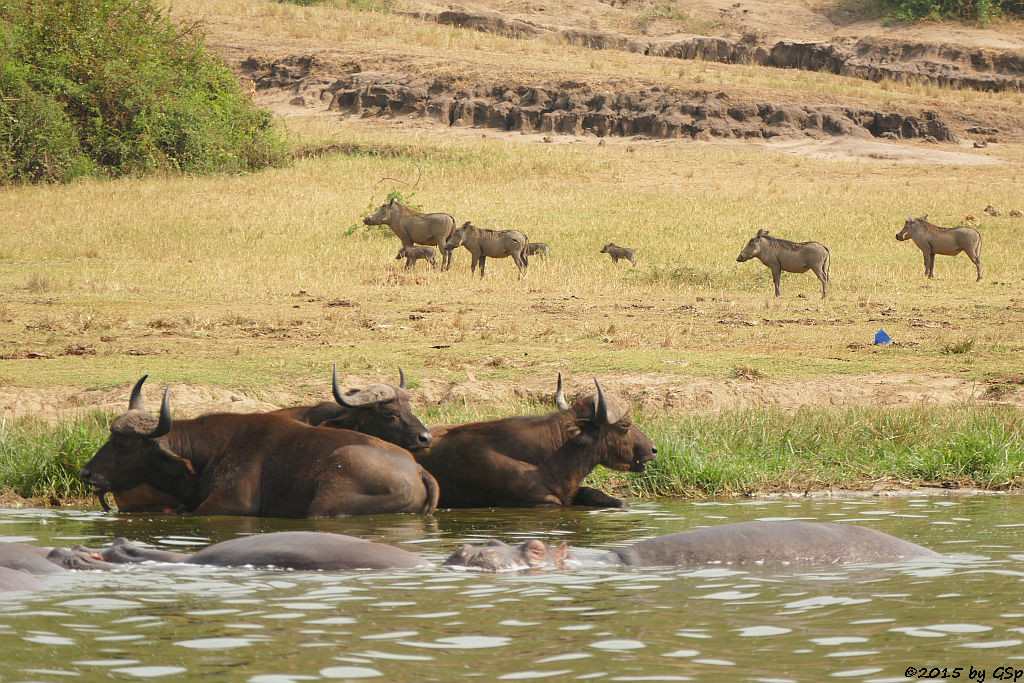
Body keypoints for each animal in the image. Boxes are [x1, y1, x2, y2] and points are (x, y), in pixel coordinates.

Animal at [75, 376, 436, 516]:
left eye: (123, 443)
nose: (86, 473)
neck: (207, 454)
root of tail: (418, 470)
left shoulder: (226, 506)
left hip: (325, 505)